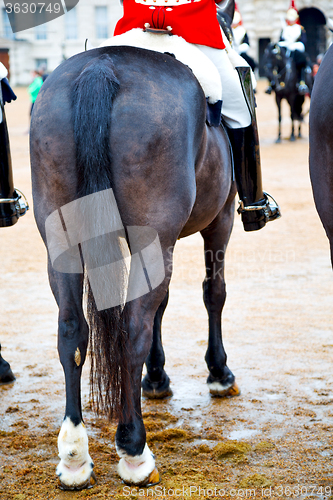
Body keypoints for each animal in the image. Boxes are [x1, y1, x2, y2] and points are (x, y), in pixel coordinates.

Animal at [29, 0, 239, 492]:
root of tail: (101, 68)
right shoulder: (218, 222)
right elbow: (212, 293)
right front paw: (217, 371)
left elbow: (162, 305)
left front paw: (157, 377)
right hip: (156, 238)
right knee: (132, 327)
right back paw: (134, 449)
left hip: (63, 244)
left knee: (73, 330)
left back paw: (74, 454)